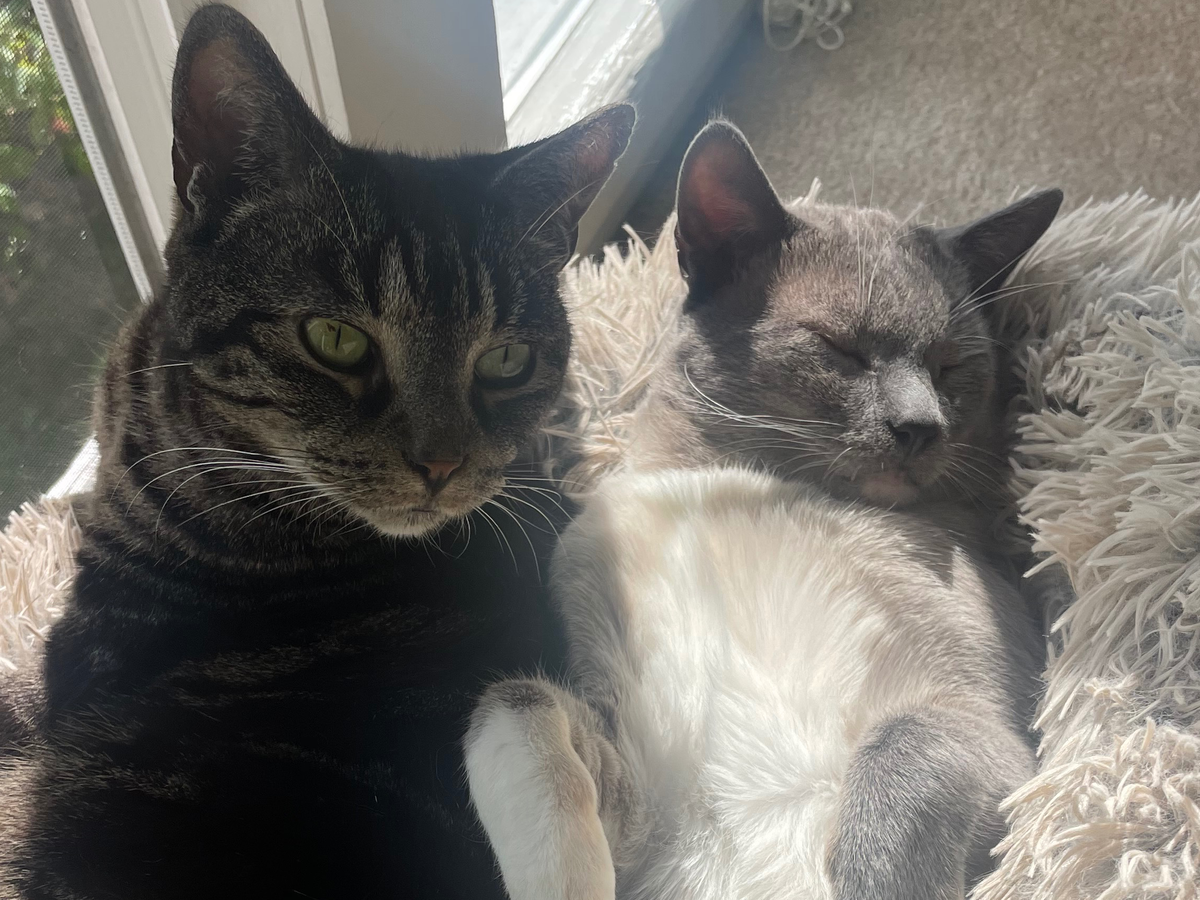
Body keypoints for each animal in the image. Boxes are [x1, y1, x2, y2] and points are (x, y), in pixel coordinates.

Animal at [465, 121, 1060, 900]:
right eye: (839, 349)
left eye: (950, 366)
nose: (920, 425)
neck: (737, 486)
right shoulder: (627, 782)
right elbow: (514, 709)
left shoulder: (986, 729)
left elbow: (895, 780)